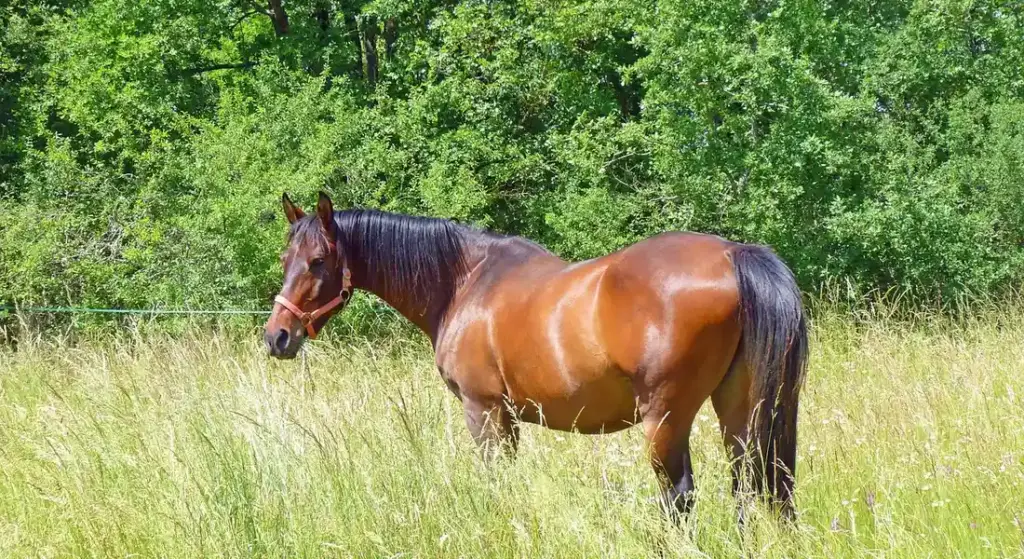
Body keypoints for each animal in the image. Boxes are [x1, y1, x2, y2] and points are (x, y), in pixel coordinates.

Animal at [263, 191, 808, 522]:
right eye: (285, 259)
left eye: (318, 261)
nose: (277, 337)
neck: (464, 280)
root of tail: (733, 254)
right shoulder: (506, 417)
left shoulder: (484, 411)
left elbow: (497, 483)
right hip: (739, 408)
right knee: (751, 486)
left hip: (666, 420)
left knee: (680, 496)